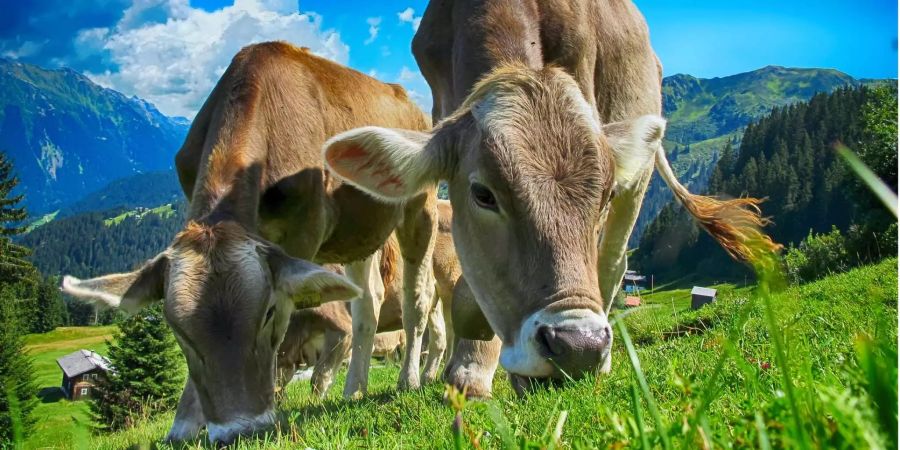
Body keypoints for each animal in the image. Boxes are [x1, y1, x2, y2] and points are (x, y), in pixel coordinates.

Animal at [59, 42, 440, 442]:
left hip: (420, 207)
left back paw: (409, 380)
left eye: (268, 313)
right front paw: (185, 424)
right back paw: (354, 389)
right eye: (177, 330)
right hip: (358, 232)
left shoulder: (303, 233)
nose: (239, 430)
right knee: (368, 301)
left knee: (418, 297)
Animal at [280, 200, 464, 394]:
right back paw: (428, 377)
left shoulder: (341, 329)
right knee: (439, 335)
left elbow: (319, 377)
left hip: (450, 284)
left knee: (452, 329)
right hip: (434, 300)